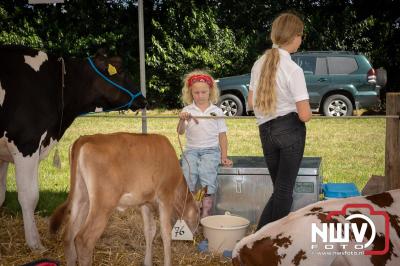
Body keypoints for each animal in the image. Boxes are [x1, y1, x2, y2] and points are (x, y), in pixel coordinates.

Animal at [0, 44, 147, 250]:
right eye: (121, 70)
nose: (144, 99)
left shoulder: (4, 155)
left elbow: (1, 195)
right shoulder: (26, 144)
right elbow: (29, 196)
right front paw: (35, 244)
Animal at [50, 133, 200, 266]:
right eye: (199, 213)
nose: (195, 237)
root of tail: (85, 138)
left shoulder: (145, 202)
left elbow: (149, 231)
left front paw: (147, 262)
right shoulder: (165, 196)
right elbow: (165, 232)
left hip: (82, 198)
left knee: (68, 236)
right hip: (103, 204)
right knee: (83, 240)